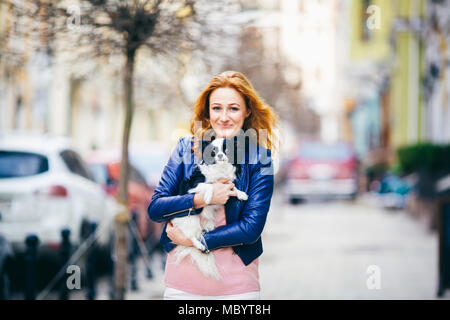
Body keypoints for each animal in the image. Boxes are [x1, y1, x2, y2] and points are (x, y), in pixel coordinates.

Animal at [171, 136, 250, 278]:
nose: (219, 155)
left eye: (227, 150)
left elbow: (233, 187)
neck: (220, 169)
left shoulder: (227, 184)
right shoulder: (193, 186)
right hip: (191, 219)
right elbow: (209, 185)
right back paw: (200, 245)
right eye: (213, 152)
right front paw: (208, 197)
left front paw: (241, 194)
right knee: (190, 236)